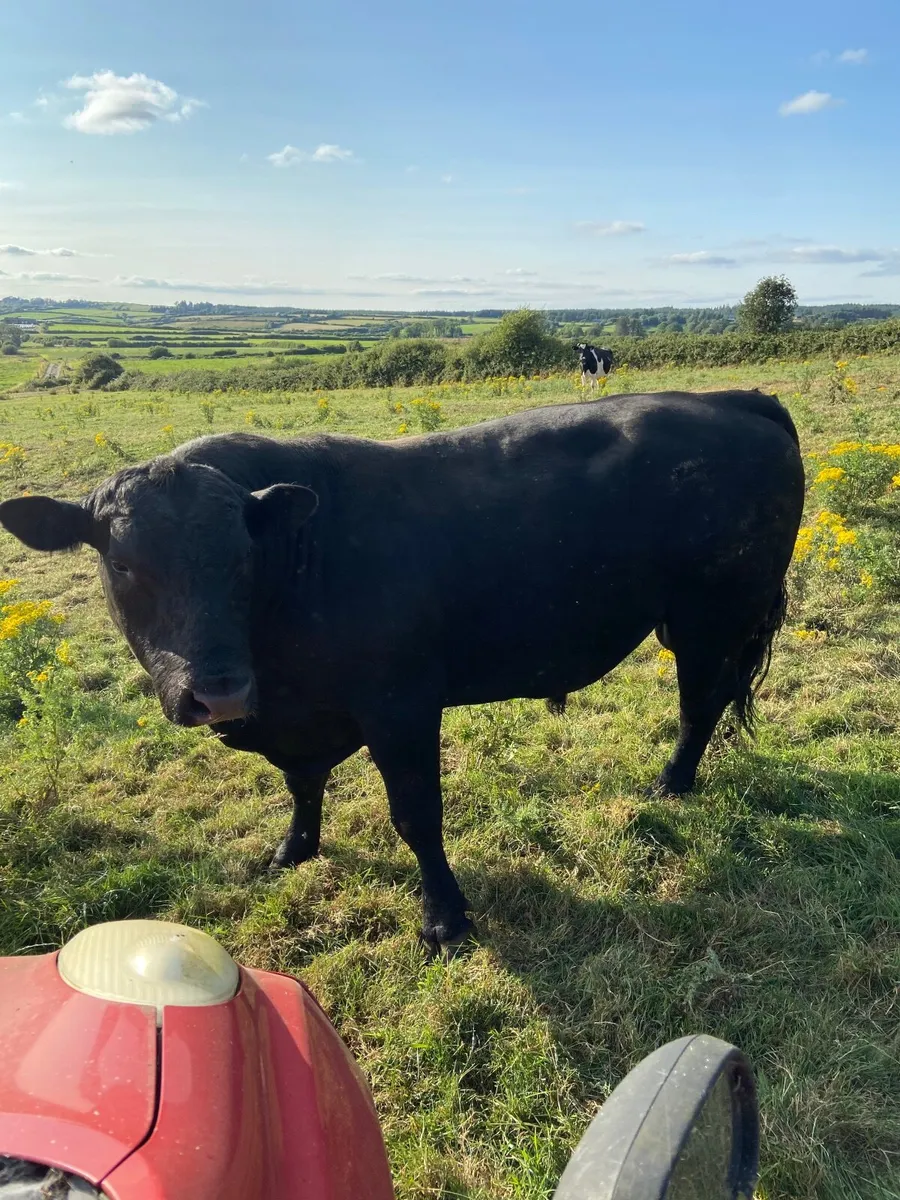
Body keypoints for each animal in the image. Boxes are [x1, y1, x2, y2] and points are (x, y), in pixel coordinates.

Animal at [0, 390, 804, 955]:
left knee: (700, 704)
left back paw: (672, 782)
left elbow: (417, 814)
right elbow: (302, 786)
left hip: (711, 617)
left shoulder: (401, 704)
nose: (218, 691)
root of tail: (734, 400)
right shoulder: (296, 716)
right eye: (123, 563)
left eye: (241, 556)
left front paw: (445, 919)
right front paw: (294, 849)